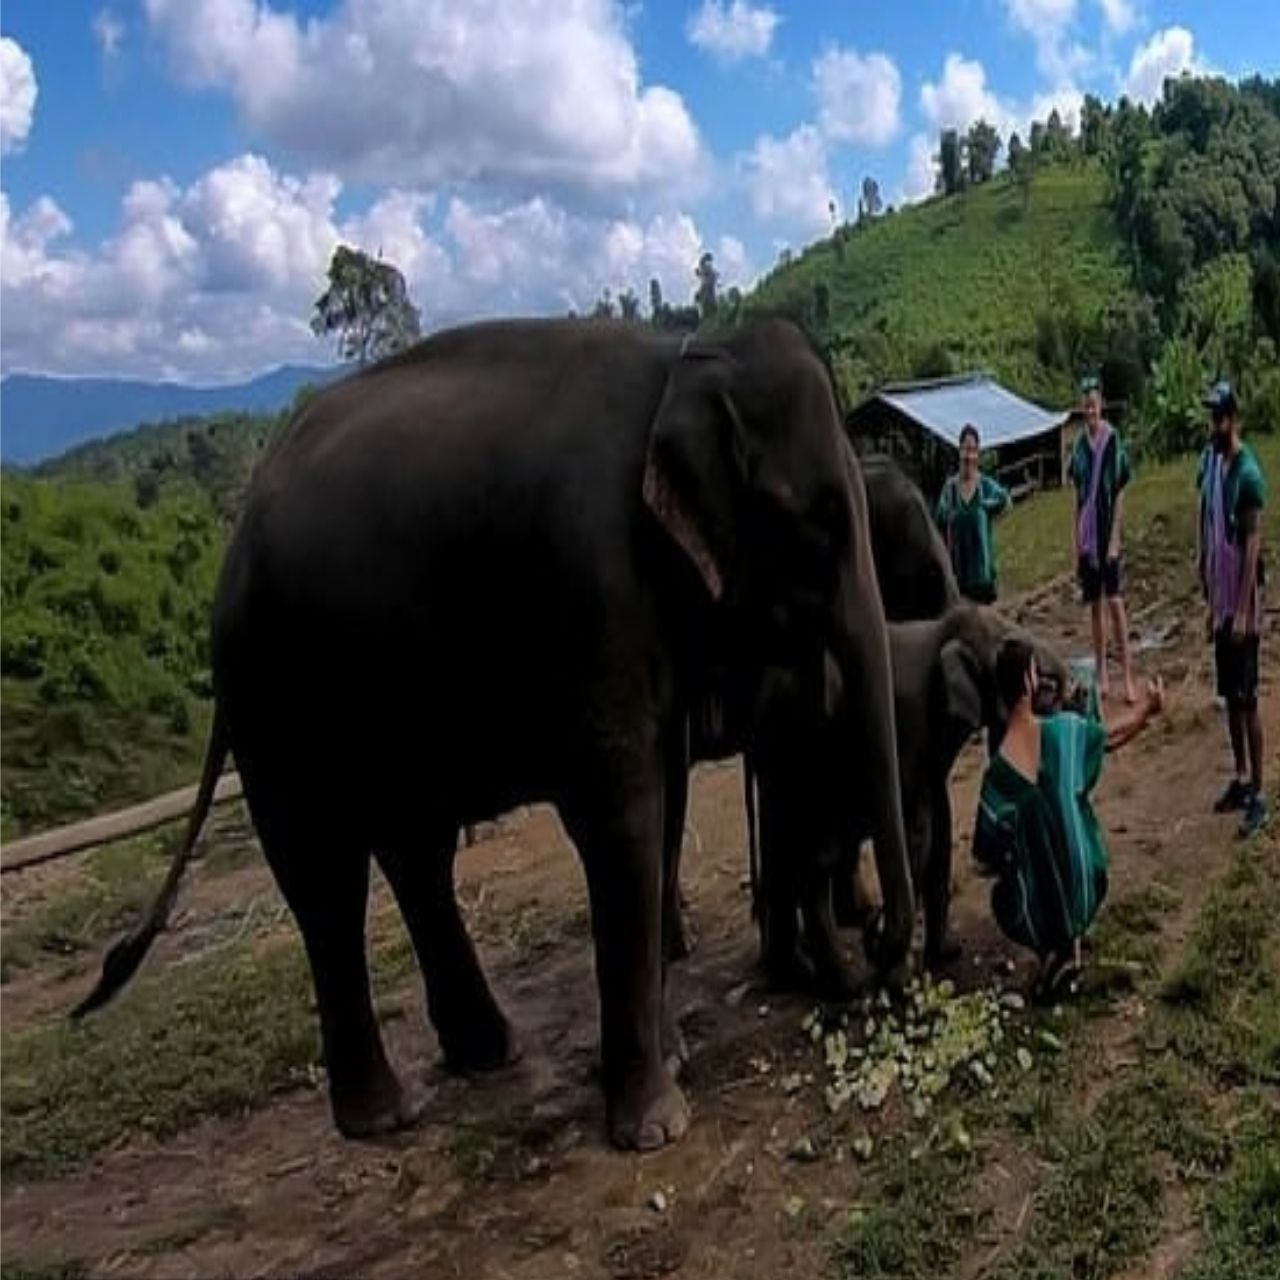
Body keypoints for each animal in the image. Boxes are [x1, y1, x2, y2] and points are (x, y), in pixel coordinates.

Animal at [74, 314, 914, 1153]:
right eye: (819, 522)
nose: (873, 942)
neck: (687, 358)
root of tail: (232, 548)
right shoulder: (591, 583)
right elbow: (624, 813)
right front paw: (655, 1125)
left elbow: (665, 802)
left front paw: (668, 1060)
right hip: (278, 698)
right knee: (325, 875)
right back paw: (386, 1115)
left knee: (415, 853)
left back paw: (485, 1054)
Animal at [747, 601, 1072, 998]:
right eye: (1044, 684)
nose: (1070, 689)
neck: (943, 631)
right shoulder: (911, 723)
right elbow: (919, 829)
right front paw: (900, 977)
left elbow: (940, 825)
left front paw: (946, 953)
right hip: (798, 757)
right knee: (812, 857)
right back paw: (836, 982)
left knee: (788, 852)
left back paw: (794, 974)